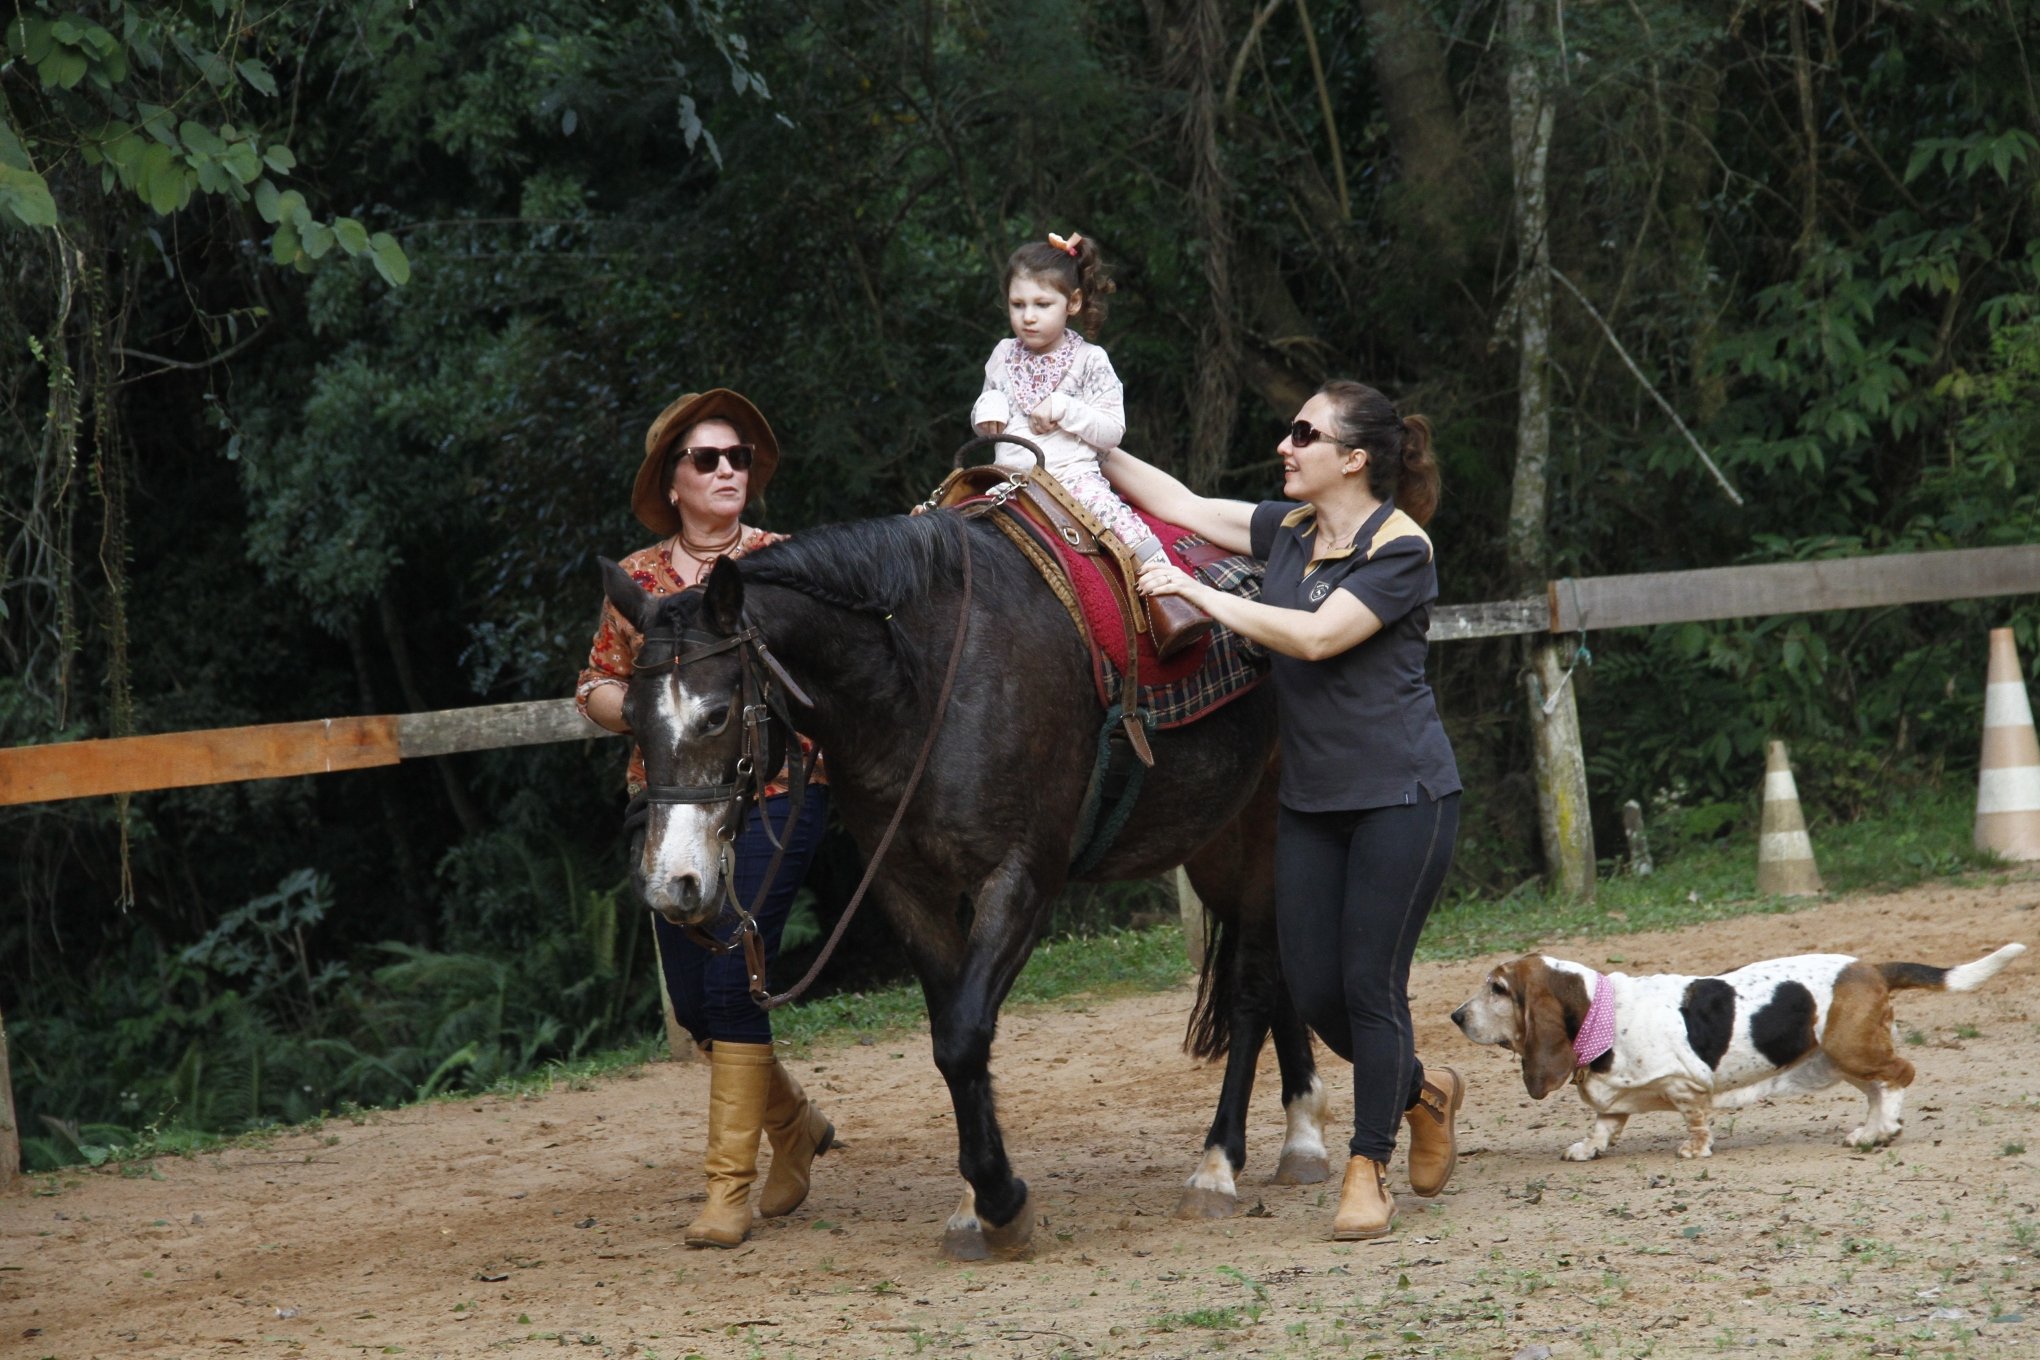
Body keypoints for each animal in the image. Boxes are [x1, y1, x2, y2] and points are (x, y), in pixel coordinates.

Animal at [595, 513, 1321, 1264]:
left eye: (714, 714)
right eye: (631, 716)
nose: (673, 883)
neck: (923, 682)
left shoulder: (1023, 878)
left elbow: (964, 1035)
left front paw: (1002, 1202)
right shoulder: (908, 888)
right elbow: (950, 1032)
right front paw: (975, 1207)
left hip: (1265, 828)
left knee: (1253, 987)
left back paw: (1220, 1165)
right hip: (1215, 843)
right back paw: (1303, 1136)